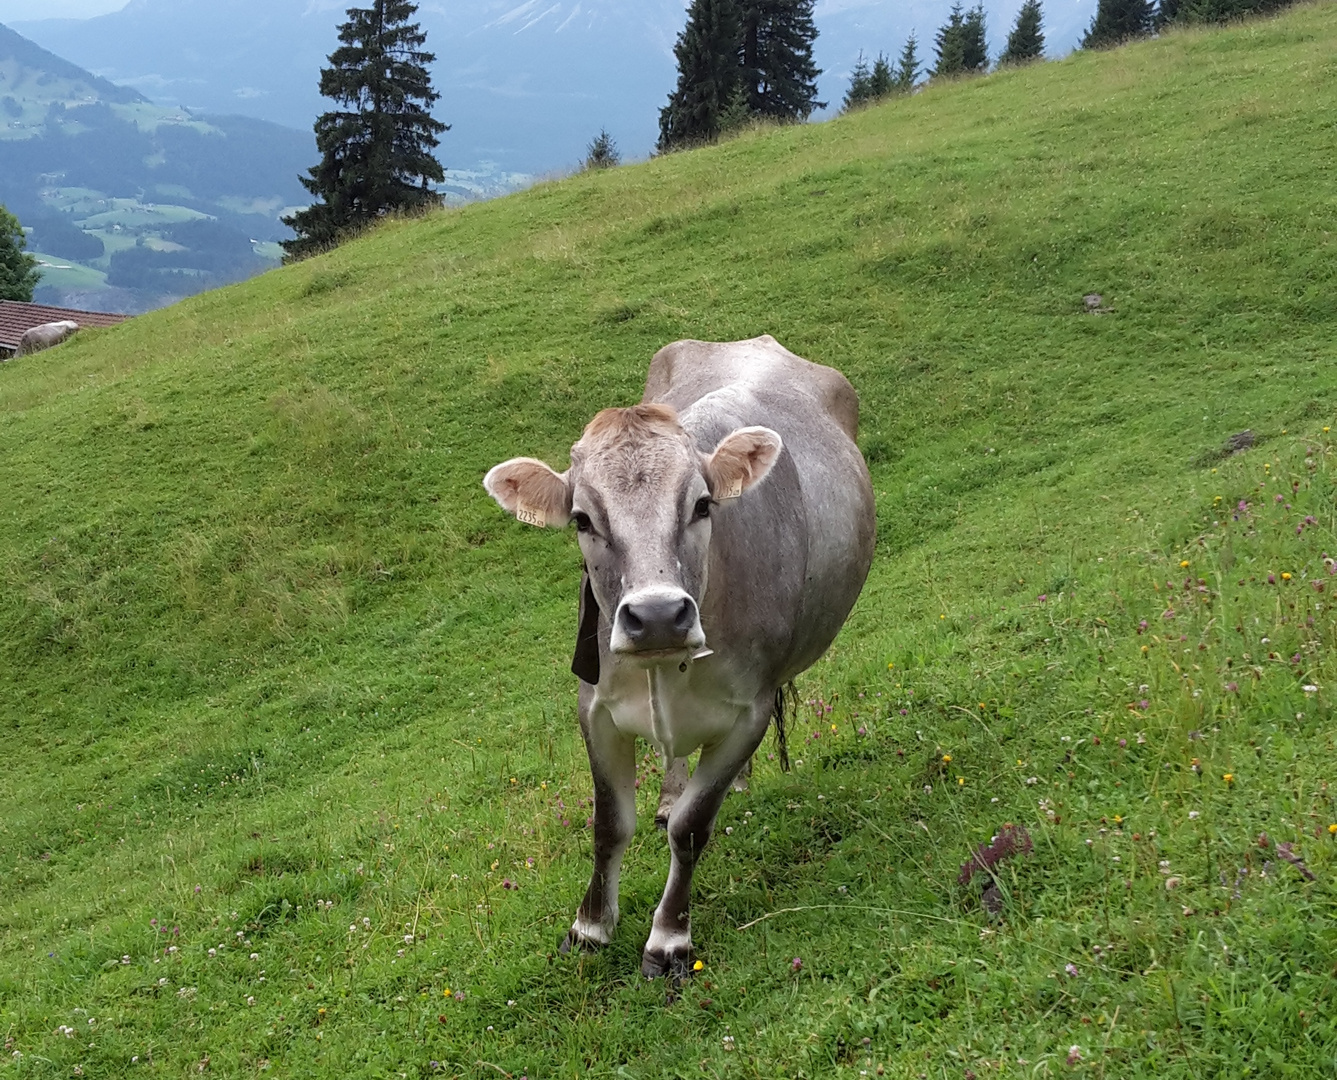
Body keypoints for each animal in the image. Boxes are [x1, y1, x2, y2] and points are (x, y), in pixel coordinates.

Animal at [481, 335, 877, 978]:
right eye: (582, 519)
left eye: (703, 505)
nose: (660, 616)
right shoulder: (594, 707)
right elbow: (609, 825)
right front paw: (590, 926)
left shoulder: (751, 711)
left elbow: (694, 829)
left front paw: (668, 938)